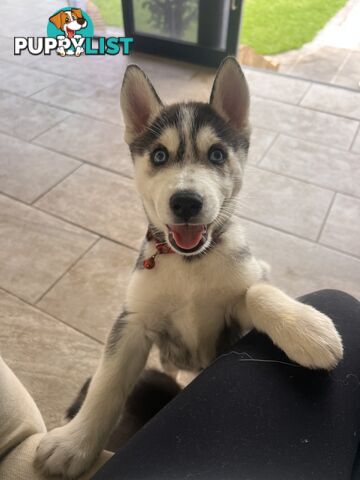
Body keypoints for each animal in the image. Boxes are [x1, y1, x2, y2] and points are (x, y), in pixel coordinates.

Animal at [35, 56, 344, 476]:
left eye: (216, 154)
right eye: (159, 156)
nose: (185, 202)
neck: (190, 264)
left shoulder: (236, 311)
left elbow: (258, 290)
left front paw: (307, 330)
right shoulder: (133, 320)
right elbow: (106, 383)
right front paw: (73, 443)